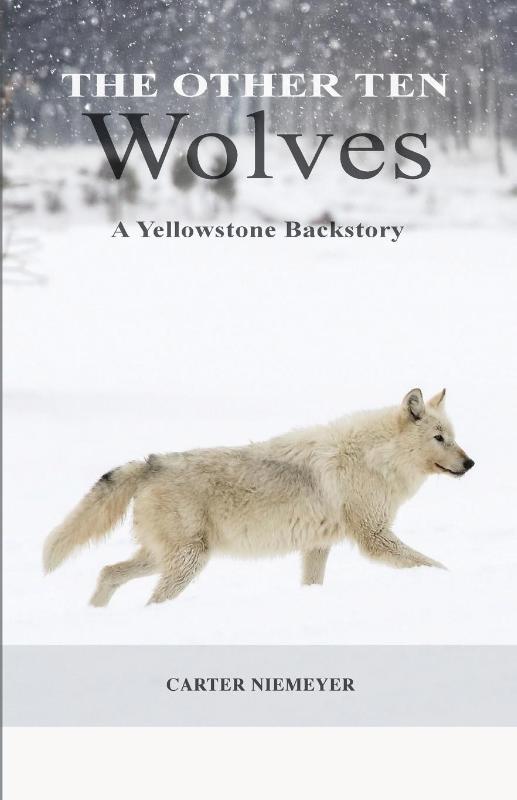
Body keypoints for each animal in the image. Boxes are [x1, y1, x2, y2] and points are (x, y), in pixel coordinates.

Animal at [43, 388, 474, 606]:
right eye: (440, 438)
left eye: (453, 437)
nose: (471, 463)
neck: (374, 458)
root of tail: (151, 463)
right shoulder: (375, 538)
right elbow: (432, 564)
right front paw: (450, 581)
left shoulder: (317, 546)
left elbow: (312, 584)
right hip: (188, 561)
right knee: (150, 598)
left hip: (161, 558)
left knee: (108, 572)